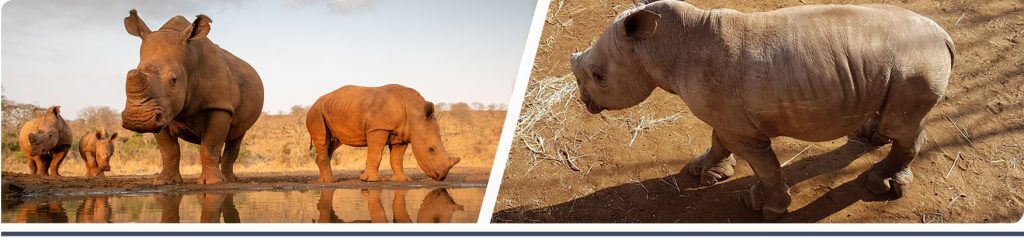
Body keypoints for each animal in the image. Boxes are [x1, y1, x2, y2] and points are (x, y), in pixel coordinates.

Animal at [119, 9, 264, 184]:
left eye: (174, 80)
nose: (138, 119)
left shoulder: (219, 105)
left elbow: (210, 145)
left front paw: (212, 182)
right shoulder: (161, 111)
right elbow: (169, 150)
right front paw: (165, 181)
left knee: (236, 137)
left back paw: (229, 180)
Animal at [303, 84, 460, 182]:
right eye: (431, 149)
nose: (441, 177)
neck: (415, 113)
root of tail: (314, 103)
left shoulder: (401, 134)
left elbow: (397, 159)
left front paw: (402, 180)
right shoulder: (378, 128)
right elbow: (375, 154)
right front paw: (371, 180)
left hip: (331, 109)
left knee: (332, 144)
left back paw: (322, 180)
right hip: (315, 113)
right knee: (323, 140)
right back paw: (330, 182)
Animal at [573, 0, 954, 220]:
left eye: (599, 77)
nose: (585, 103)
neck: (662, 46)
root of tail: (944, 35)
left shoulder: (745, 131)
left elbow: (764, 166)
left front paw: (765, 208)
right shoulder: (725, 116)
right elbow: (717, 140)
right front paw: (703, 172)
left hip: (917, 65)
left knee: (903, 128)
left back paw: (881, 184)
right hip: (902, 64)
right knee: (894, 122)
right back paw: (870, 135)